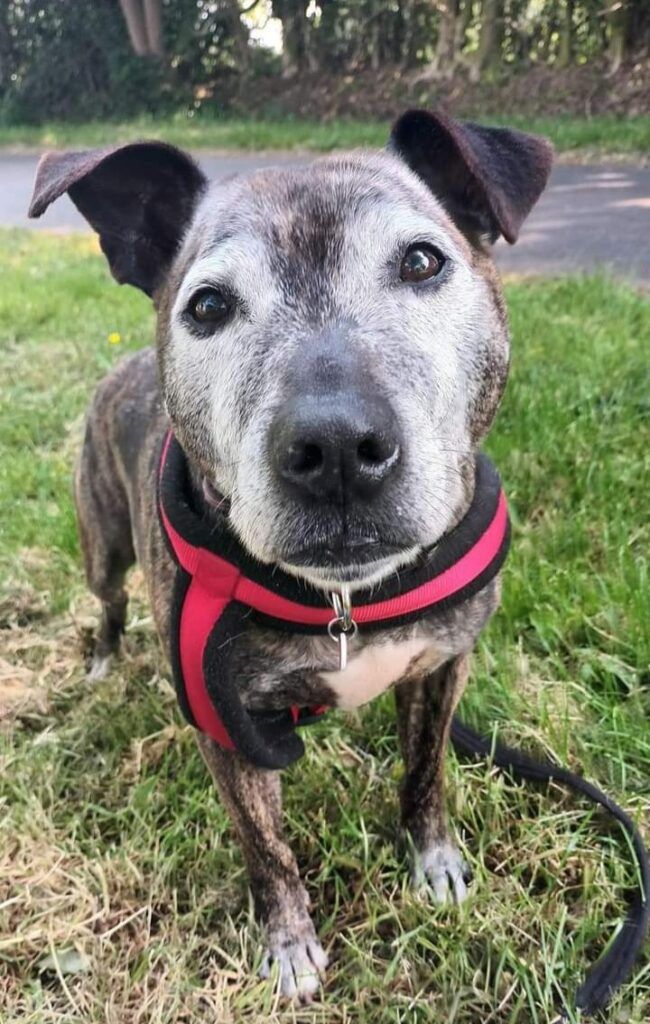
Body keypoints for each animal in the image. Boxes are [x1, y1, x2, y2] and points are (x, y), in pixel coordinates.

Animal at [28, 112, 552, 999]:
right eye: (208, 306)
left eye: (422, 261)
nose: (336, 447)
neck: (346, 600)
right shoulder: (226, 727)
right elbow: (266, 846)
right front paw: (289, 942)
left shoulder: (445, 664)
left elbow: (425, 772)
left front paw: (434, 860)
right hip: (100, 540)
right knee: (107, 602)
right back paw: (100, 663)